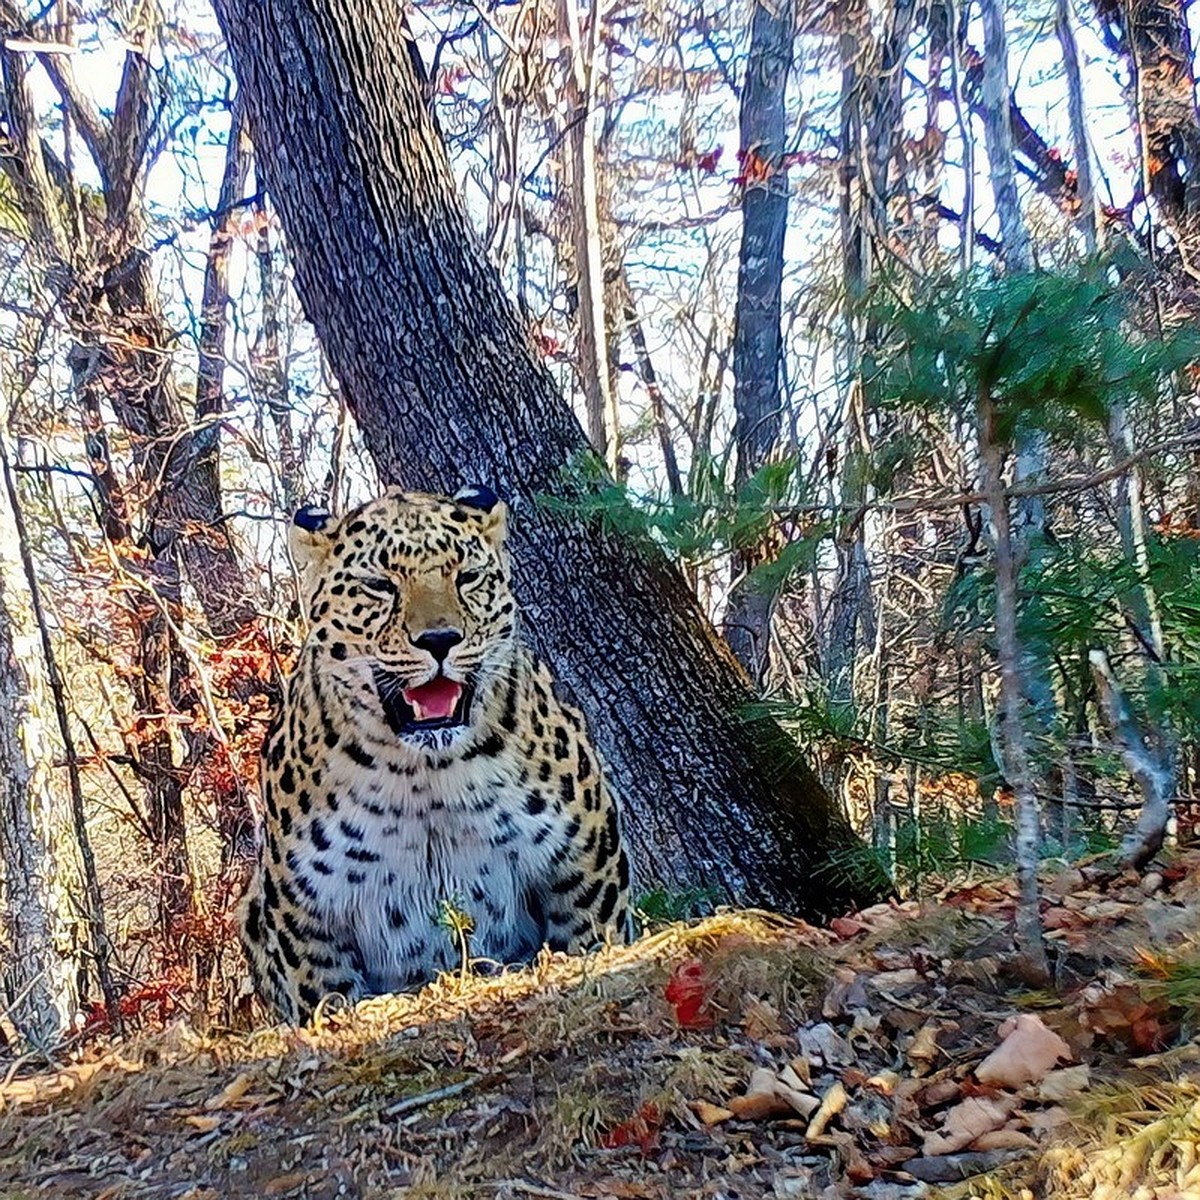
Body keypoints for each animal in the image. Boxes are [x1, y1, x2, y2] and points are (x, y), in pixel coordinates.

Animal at [241, 484, 638, 1022]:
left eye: (467, 577)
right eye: (379, 585)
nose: (440, 640)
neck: (423, 775)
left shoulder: (586, 862)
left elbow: (593, 937)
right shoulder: (308, 918)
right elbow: (326, 997)